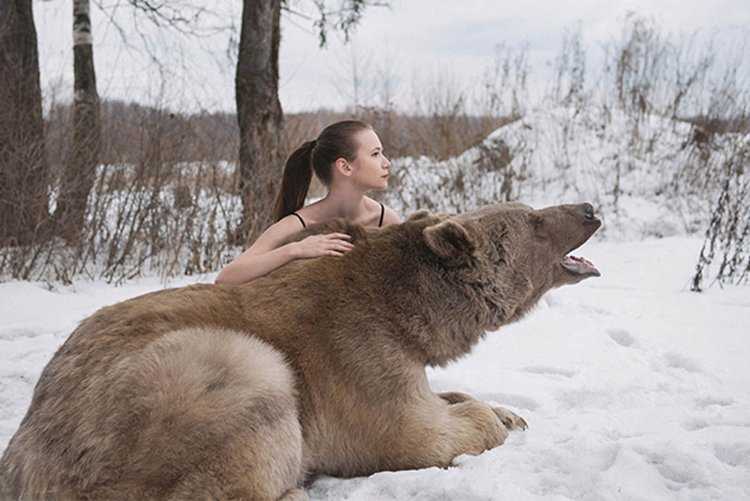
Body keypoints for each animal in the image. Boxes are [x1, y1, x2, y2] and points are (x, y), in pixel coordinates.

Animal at [0, 202, 601, 500]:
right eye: (534, 218)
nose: (589, 207)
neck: (405, 308)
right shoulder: (355, 356)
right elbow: (411, 432)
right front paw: (488, 419)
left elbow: (441, 397)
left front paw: (509, 410)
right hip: (155, 401)